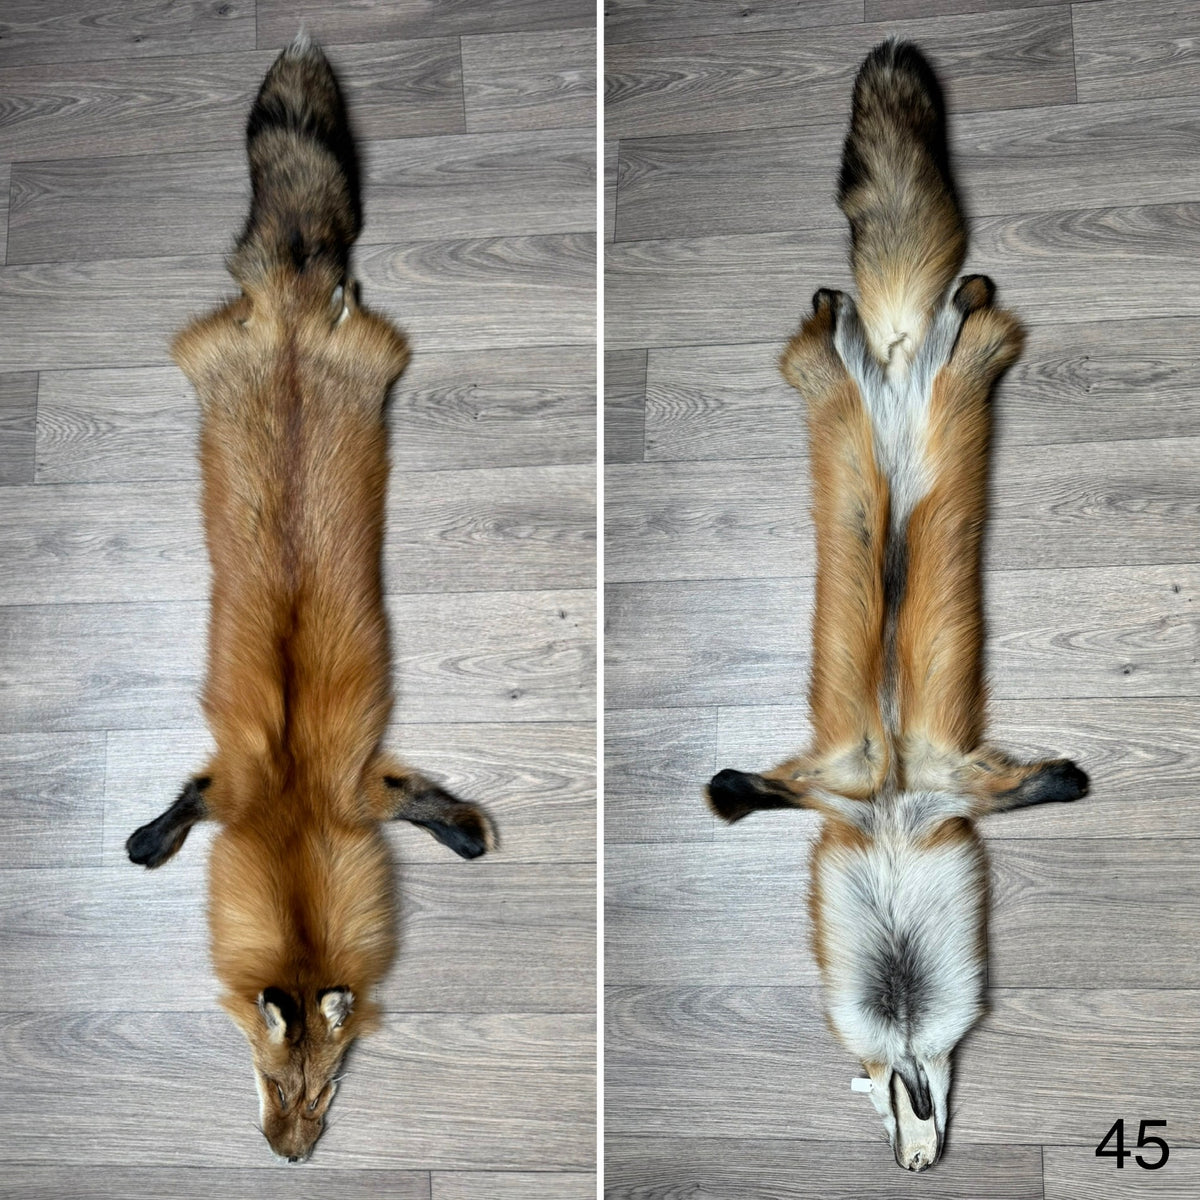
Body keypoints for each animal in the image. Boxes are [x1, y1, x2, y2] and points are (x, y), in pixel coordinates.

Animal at [125, 36, 496, 1163]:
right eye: (267, 1075)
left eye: (329, 1087)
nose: (291, 1158)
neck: (288, 814)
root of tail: (290, 314)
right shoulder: (247, 787)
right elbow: (179, 807)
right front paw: (146, 845)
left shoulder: (351, 789)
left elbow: (438, 811)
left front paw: (466, 833)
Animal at [706, 40, 1087, 1171]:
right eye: (886, 1104)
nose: (916, 1161)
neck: (887, 823)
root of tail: (899, 358)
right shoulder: (842, 781)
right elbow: (740, 792)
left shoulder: (946, 781)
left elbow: (1039, 788)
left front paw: (1070, 781)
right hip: (850, 438)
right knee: (838, 370)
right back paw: (853, 319)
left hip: (947, 415)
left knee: (950, 345)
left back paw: (926, 310)